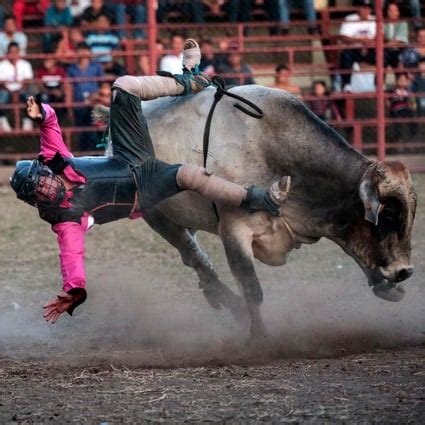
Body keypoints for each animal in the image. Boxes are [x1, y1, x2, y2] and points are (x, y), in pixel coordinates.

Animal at [105, 85, 414, 338]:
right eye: (388, 213)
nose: (405, 271)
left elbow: (354, 247)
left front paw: (385, 286)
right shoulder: (234, 230)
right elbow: (251, 287)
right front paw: (259, 338)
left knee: (191, 253)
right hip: (156, 215)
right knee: (192, 253)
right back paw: (228, 301)